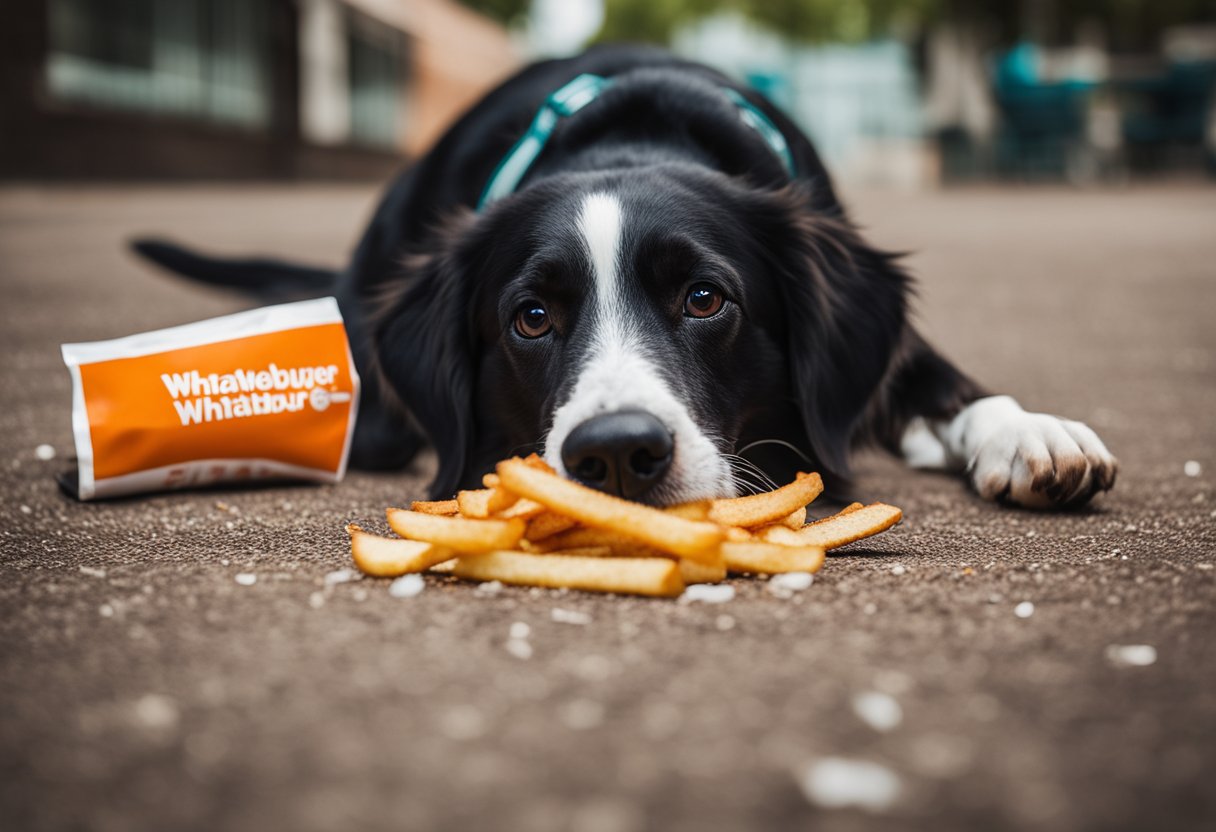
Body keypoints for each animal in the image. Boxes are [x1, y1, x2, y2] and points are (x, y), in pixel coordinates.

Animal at [138, 48, 1113, 510]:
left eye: (705, 298)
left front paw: (1030, 434)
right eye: (531, 317)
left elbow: (951, 383)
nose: (614, 452)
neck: (637, 135)